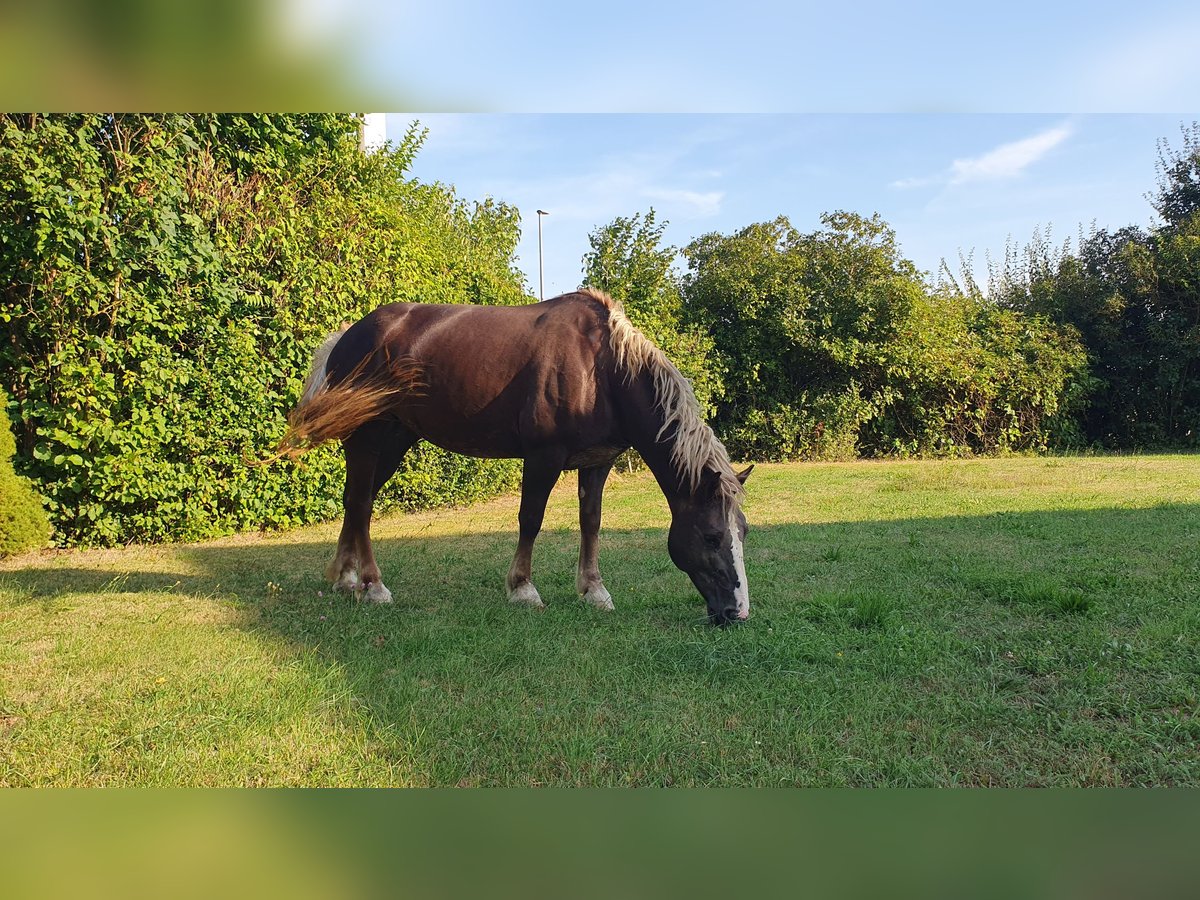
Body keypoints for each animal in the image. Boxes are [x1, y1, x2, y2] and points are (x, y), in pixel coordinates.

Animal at [277, 289, 753, 628]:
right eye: (712, 536)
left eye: (743, 533)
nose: (737, 613)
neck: (601, 369)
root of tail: (347, 335)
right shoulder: (543, 457)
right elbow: (531, 519)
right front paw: (523, 589)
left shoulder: (597, 461)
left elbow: (591, 523)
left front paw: (594, 591)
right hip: (368, 439)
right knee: (359, 504)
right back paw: (373, 586)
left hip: (395, 439)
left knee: (356, 503)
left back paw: (345, 578)